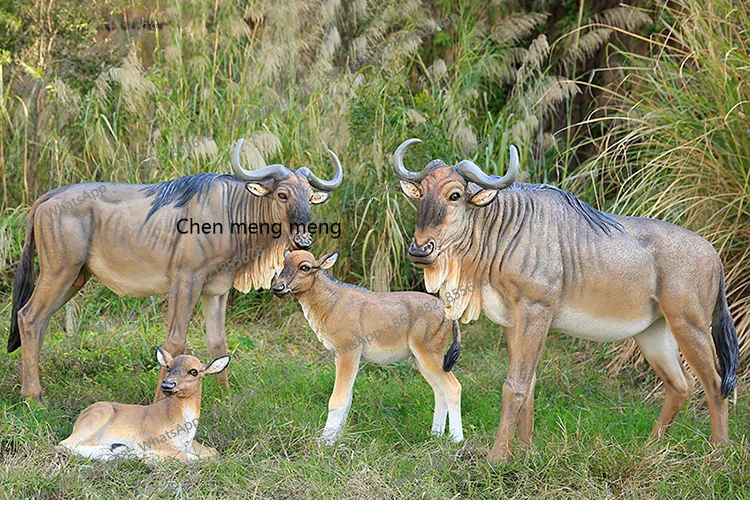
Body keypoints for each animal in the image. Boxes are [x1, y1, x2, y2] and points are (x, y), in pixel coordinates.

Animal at [8, 139, 342, 404]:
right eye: (282, 194)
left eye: (309, 197)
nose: (304, 240)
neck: (230, 210)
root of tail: (46, 199)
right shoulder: (186, 280)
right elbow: (174, 341)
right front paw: (161, 398)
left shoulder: (216, 290)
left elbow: (218, 343)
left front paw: (225, 396)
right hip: (59, 272)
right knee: (29, 317)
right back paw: (33, 396)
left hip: (74, 278)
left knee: (39, 321)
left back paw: (30, 386)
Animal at [57, 347, 229, 462]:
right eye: (168, 367)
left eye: (194, 371)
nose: (167, 384)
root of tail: (79, 419)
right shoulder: (147, 437)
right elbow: (188, 456)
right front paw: (146, 457)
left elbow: (213, 452)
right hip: (98, 415)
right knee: (64, 444)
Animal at [272, 250, 464, 444]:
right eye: (283, 264)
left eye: (305, 267)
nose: (278, 288)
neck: (333, 303)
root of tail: (447, 312)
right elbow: (347, 399)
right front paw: (337, 437)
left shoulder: (348, 352)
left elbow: (338, 399)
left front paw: (326, 441)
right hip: (421, 361)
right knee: (439, 392)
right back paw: (435, 435)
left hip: (430, 355)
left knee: (453, 388)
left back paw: (457, 440)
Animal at [392, 138, 739, 463]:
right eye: (421, 194)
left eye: (454, 195)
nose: (419, 249)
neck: (507, 229)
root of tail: (714, 256)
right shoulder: (513, 322)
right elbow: (529, 385)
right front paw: (524, 452)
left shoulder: (536, 313)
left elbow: (514, 385)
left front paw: (497, 457)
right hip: (653, 333)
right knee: (681, 384)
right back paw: (651, 448)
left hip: (690, 326)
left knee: (715, 383)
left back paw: (718, 455)